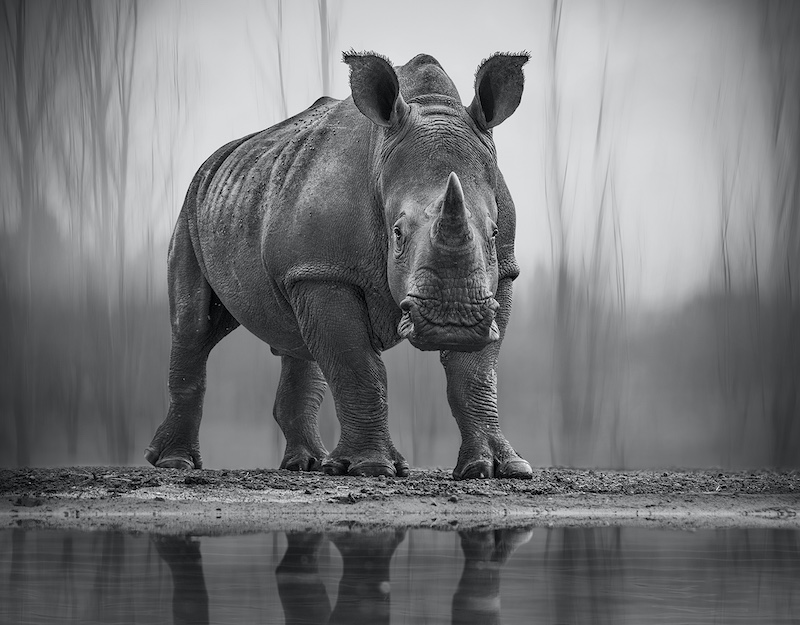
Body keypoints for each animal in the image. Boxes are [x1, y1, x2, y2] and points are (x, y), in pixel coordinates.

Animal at [145, 51, 533, 480]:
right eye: (397, 233)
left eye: (493, 234)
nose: (453, 324)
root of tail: (217, 158)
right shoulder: (325, 271)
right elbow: (356, 366)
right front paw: (372, 468)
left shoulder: (501, 275)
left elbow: (475, 373)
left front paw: (498, 468)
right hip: (193, 204)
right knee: (192, 326)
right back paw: (175, 462)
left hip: (263, 203)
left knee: (297, 339)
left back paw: (308, 464)